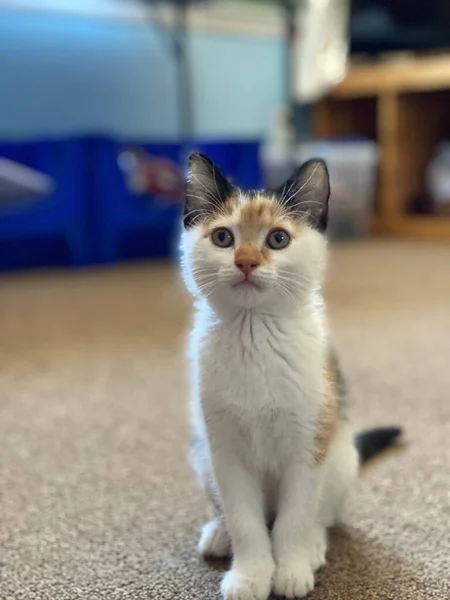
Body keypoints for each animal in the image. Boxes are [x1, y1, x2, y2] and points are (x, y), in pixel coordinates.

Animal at [179, 154, 400, 600]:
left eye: (278, 239)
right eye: (223, 237)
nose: (246, 261)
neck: (254, 334)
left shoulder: (308, 443)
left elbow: (294, 518)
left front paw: (291, 568)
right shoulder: (225, 450)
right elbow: (244, 519)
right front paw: (250, 575)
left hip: (340, 455)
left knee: (321, 515)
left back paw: (313, 545)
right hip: (201, 452)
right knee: (230, 510)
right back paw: (219, 533)